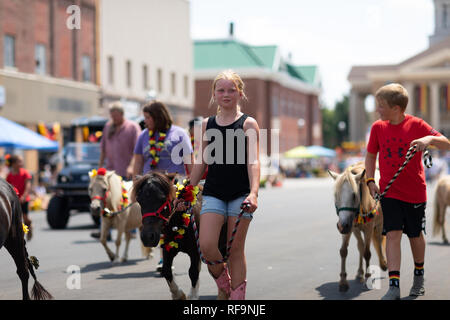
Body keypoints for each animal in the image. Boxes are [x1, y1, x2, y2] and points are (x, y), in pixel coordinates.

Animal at [132, 172, 227, 300]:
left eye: (162, 198)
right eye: (139, 200)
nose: (147, 237)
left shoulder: (196, 250)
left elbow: (193, 272)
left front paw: (192, 295)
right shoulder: (168, 248)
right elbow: (166, 270)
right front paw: (178, 294)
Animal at [326, 164, 386, 292]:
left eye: (354, 195)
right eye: (336, 195)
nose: (342, 226)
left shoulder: (368, 228)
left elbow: (367, 253)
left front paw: (368, 277)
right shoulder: (348, 227)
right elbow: (344, 251)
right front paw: (343, 281)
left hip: (379, 224)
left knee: (379, 240)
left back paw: (383, 263)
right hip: (355, 229)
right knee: (361, 246)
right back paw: (360, 273)